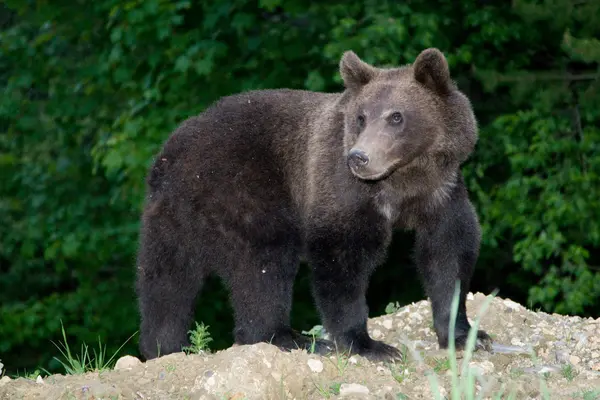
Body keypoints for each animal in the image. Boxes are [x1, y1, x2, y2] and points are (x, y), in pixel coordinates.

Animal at [136, 47, 492, 362]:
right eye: (361, 117)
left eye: (396, 116)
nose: (359, 157)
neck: (404, 180)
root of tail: (169, 153)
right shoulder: (342, 188)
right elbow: (340, 256)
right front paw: (367, 344)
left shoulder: (441, 191)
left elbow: (448, 251)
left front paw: (465, 335)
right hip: (243, 191)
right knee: (263, 263)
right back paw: (288, 336)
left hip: (175, 215)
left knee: (167, 280)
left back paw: (165, 345)